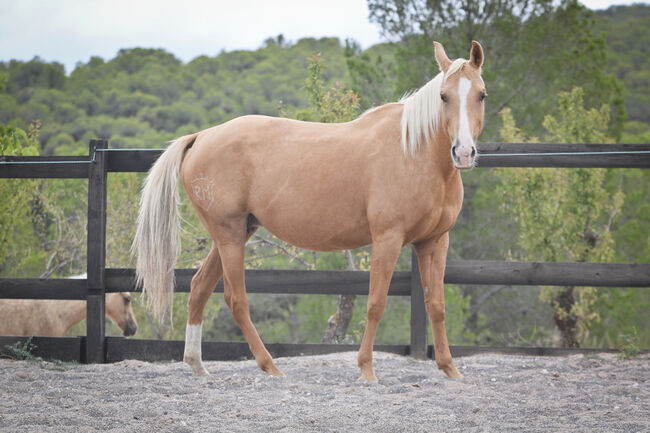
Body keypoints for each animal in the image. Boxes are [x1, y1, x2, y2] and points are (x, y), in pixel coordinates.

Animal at [134, 40, 484, 378]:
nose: (464, 153)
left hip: (235, 234)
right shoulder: (388, 238)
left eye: (481, 95)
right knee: (236, 299)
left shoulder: (433, 242)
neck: (413, 151)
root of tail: (202, 136)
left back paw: (197, 365)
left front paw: (450, 369)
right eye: (443, 96)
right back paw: (270, 366)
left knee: (199, 288)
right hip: (229, 236)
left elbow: (436, 304)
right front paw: (366, 369)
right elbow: (375, 303)